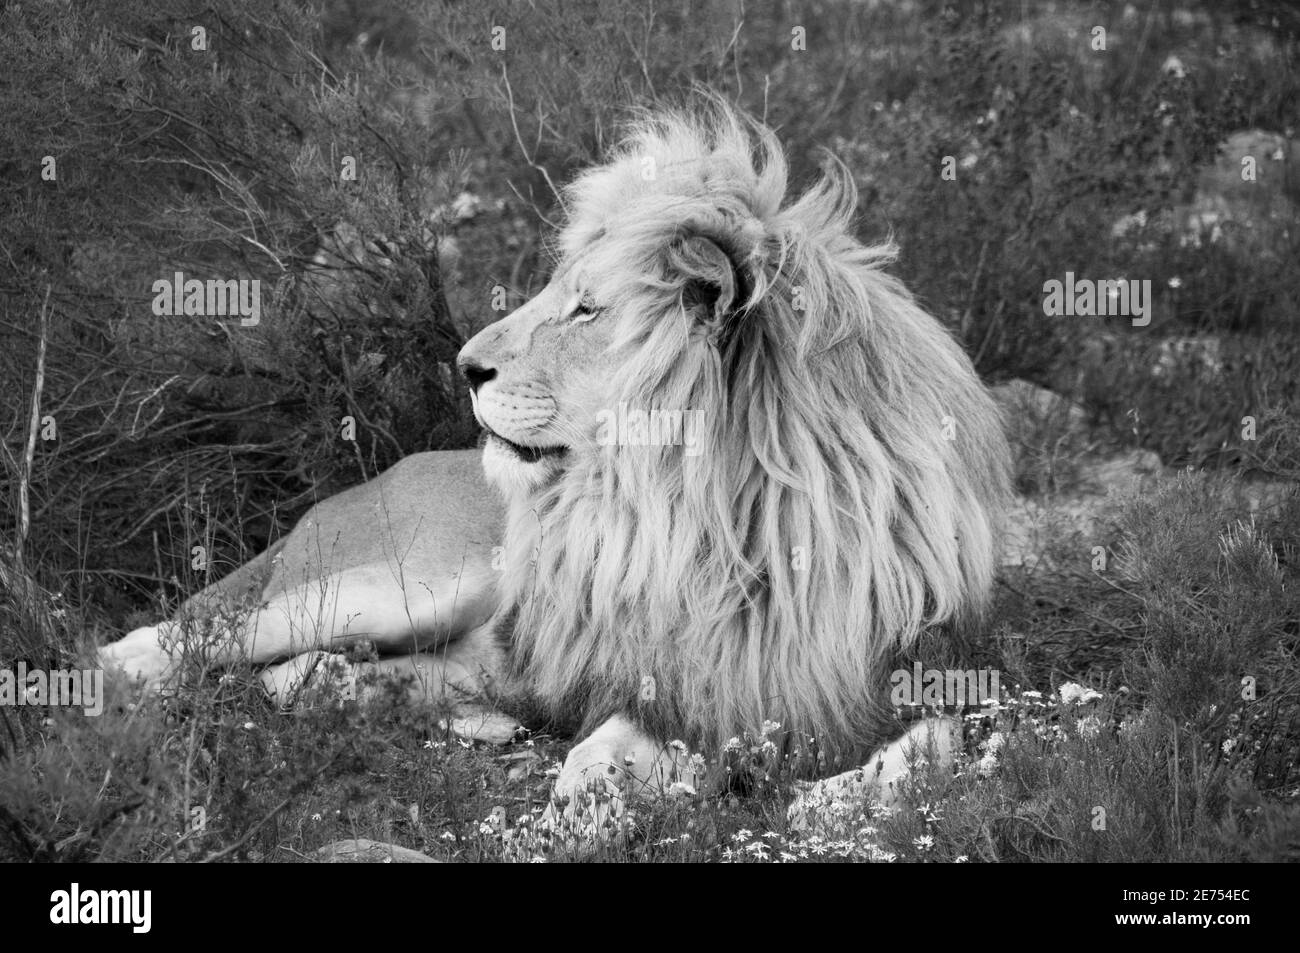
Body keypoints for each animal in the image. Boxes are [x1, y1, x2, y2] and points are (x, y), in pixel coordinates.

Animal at [101, 98, 1013, 832]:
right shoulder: (661, 676)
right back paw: (110, 684)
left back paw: (410, 703)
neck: (726, 519)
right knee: (194, 634)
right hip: (409, 582)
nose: (465, 366)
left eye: (586, 309)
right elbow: (601, 748)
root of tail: (368, 481)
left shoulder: (918, 671)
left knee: (305, 675)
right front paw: (584, 804)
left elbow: (932, 748)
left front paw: (830, 796)